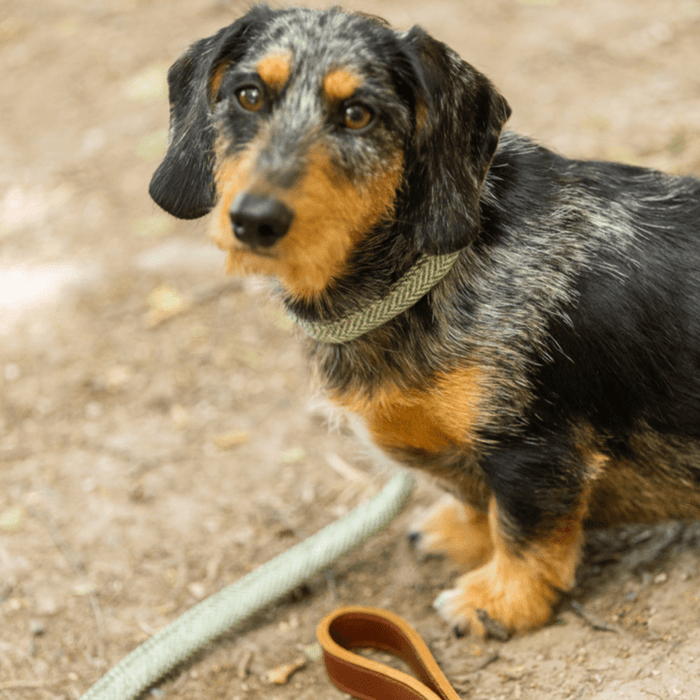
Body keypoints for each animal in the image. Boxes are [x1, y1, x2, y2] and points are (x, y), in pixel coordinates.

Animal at [150, 4, 700, 640]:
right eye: (248, 95)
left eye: (357, 114)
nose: (255, 220)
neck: (430, 274)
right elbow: (476, 499)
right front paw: (460, 534)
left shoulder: (534, 450)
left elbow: (524, 533)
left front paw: (499, 602)